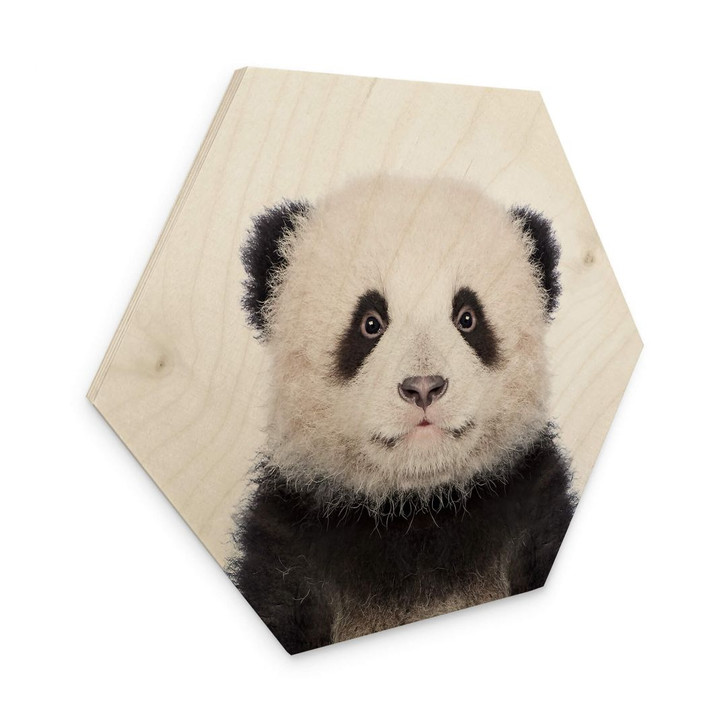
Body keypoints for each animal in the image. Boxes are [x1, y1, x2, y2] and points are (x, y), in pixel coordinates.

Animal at [227, 175, 576, 654]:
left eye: (467, 318)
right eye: (370, 323)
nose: (424, 386)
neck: (417, 511)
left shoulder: (529, 507)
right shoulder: (292, 545)